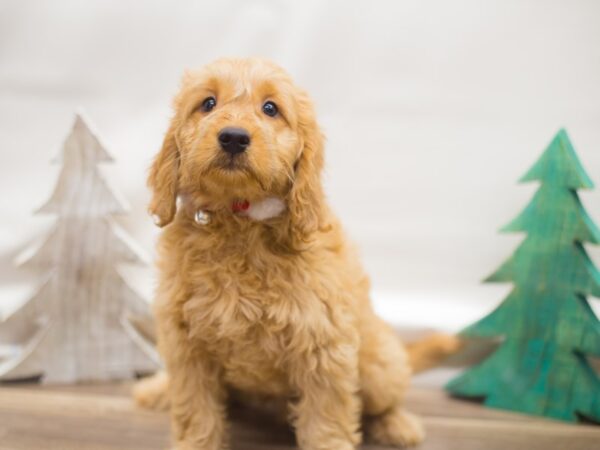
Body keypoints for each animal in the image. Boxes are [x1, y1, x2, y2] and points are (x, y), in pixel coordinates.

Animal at [136, 58, 454, 448]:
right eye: (207, 103)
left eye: (271, 108)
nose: (233, 137)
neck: (238, 220)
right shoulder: (186, 343)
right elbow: (195, 411)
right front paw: (193, 440)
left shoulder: (323, 343)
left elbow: (325, 419)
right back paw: (156, 389)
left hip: (378, 366)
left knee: (384, 399)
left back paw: (398, 424)